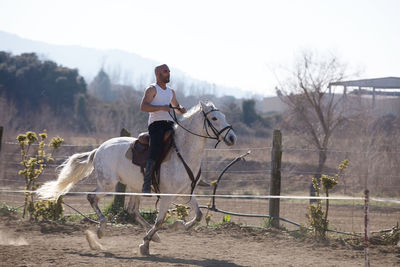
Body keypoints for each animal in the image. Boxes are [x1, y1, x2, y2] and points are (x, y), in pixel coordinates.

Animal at [36, 101, 236, 256]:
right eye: (214, 118)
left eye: (224, 116)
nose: (232, 138)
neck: (183, 152)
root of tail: (99, 148)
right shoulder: (167, 196)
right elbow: (160, 221)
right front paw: (145, 244)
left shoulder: (186, 191)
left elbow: (199, 215)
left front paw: (178, 226)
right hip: (108, 183)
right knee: (92, 198)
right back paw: (101, 229)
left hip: (135, 187)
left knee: (132, 210)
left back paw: (154, 236)